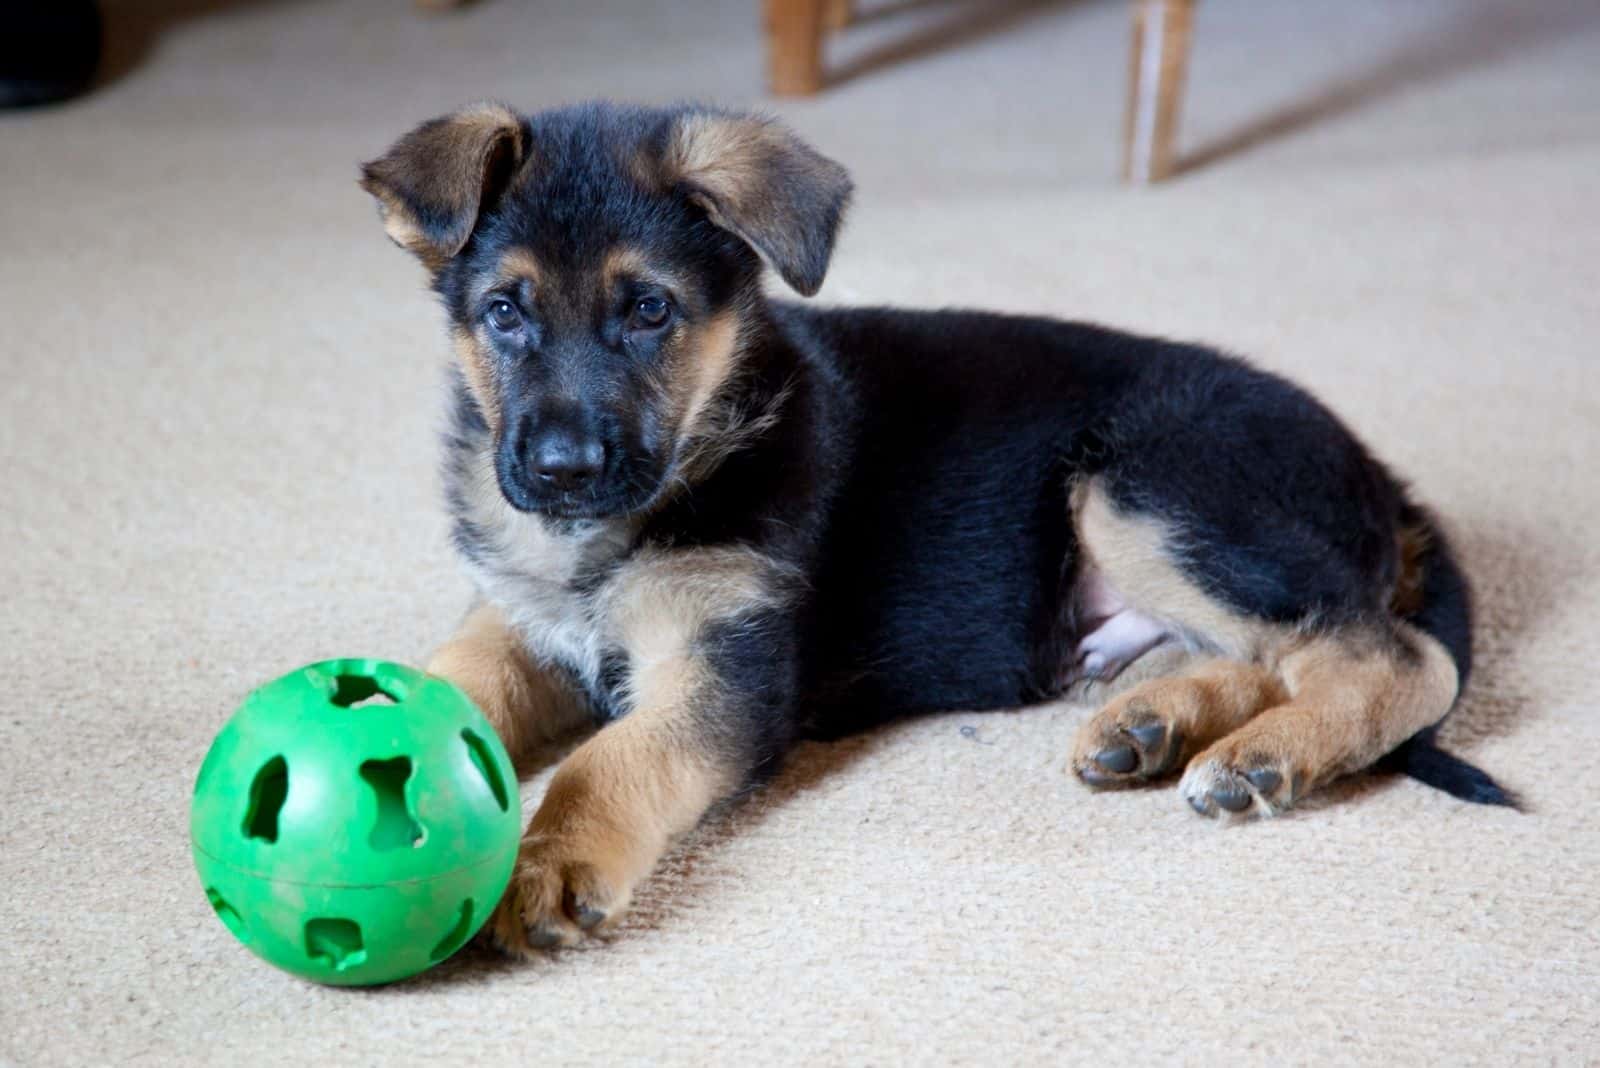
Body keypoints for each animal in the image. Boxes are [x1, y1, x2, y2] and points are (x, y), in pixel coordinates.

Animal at [356, 97, 1504, 952]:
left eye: (648, 312)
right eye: (504, 312)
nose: (561, 473)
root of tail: (1381, 475)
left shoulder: (726, 667)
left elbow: (610, 757)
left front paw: (550, 859)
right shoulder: (518, 622)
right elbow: (441, 682)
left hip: (1144, 483)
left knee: (1394, 657)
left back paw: (1265, 757)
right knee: (1280, 650)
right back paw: (1155, 724)